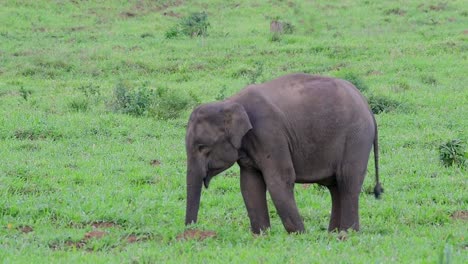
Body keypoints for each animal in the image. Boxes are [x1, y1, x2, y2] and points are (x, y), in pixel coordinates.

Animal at [185, 73, 382, 234]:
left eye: (202, 147)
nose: (190, 231)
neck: (229, 103)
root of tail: (368, 107)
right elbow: (249, 185)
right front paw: (262, 235)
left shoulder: (270, 134)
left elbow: (279, 180)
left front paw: (301, 235)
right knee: (335, 186)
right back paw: (333, 233)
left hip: (356, 138)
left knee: (348, 181)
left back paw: (347, 234)